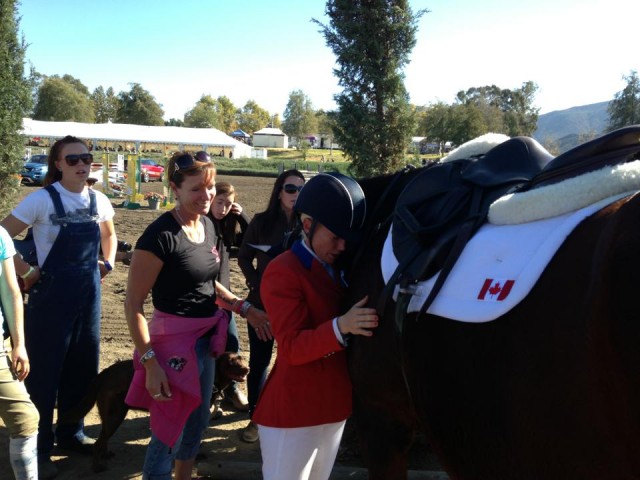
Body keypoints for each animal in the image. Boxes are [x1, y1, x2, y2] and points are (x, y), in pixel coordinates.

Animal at [61, 350, 249, 474]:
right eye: (231, 362)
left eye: (242, 358)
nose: (247, 369)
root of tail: (104, 373)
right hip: (115, 414)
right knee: (99, 442)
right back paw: (97, 467)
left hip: (111, 416)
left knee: (103, 438)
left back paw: (105, 455)